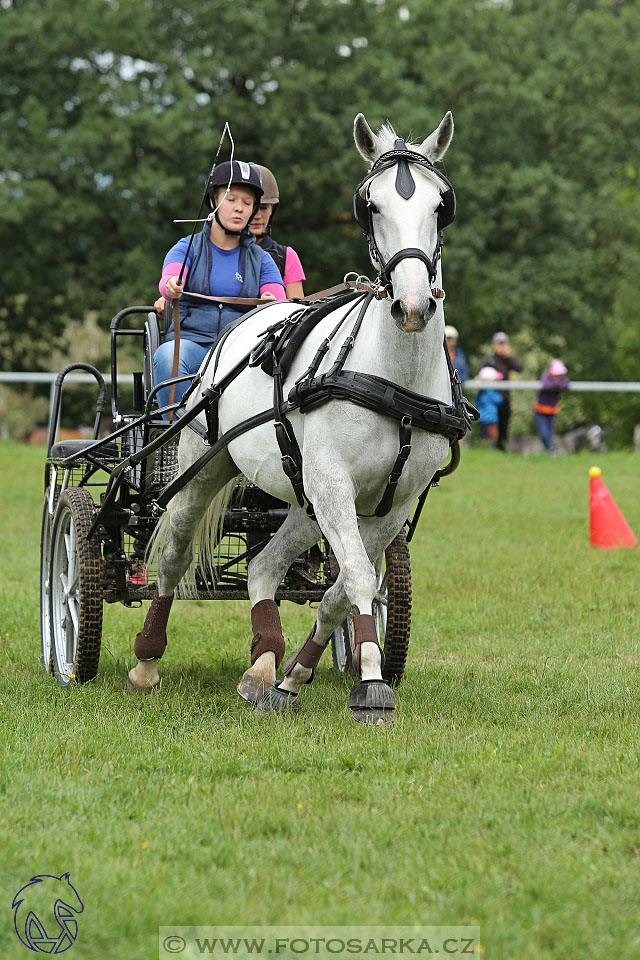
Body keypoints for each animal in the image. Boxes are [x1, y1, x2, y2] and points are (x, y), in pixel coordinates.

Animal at [129, 112, 460, 724]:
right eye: (370, 205)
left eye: (440, 204)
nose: (412, 306)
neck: (394, 380)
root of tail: (245, 320)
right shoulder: (333, 483)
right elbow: (357, 576)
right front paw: (372, 686)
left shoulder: (390, 503)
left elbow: (343, 588)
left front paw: (298, 676)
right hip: (205, 466)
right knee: (174, 553)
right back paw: (146, 661)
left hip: (304, 495)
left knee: (263, 566)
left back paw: (264, 666)